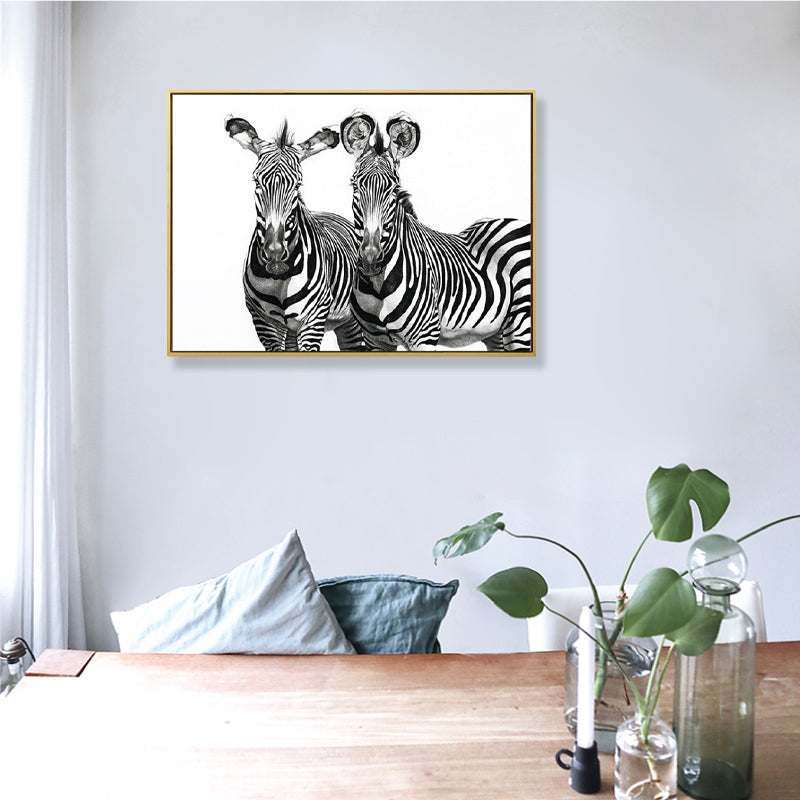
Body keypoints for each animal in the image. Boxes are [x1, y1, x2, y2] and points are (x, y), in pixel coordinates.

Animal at [226, 117, 364, 351]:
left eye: (298, 184)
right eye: (256, 181)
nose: (274, 252)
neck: (280, 279)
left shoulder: (313, 320)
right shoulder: (264, 322)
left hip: (352, 322)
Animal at [339, 112, 532, 352]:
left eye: (394, 189)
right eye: (354, 187)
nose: (370, 259)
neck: (378, 287)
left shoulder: (424, 336)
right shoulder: (375, 340)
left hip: (521, 323)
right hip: (495, 332)